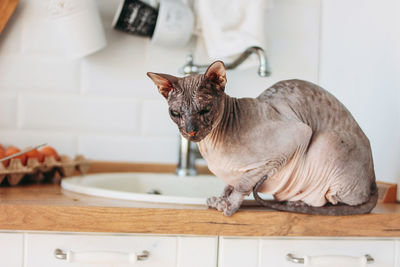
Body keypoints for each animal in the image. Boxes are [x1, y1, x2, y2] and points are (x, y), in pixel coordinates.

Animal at [147, 61, 378, 218]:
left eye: (205, 109)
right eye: (175, 113)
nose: (190, 131)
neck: (212, 148)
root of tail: (374, 177)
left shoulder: (295, 136)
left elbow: (244, 183)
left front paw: (230, 205)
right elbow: (229, 184)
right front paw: (220, 199)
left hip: (325, 141)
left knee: (342, 201)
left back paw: (300, 204)